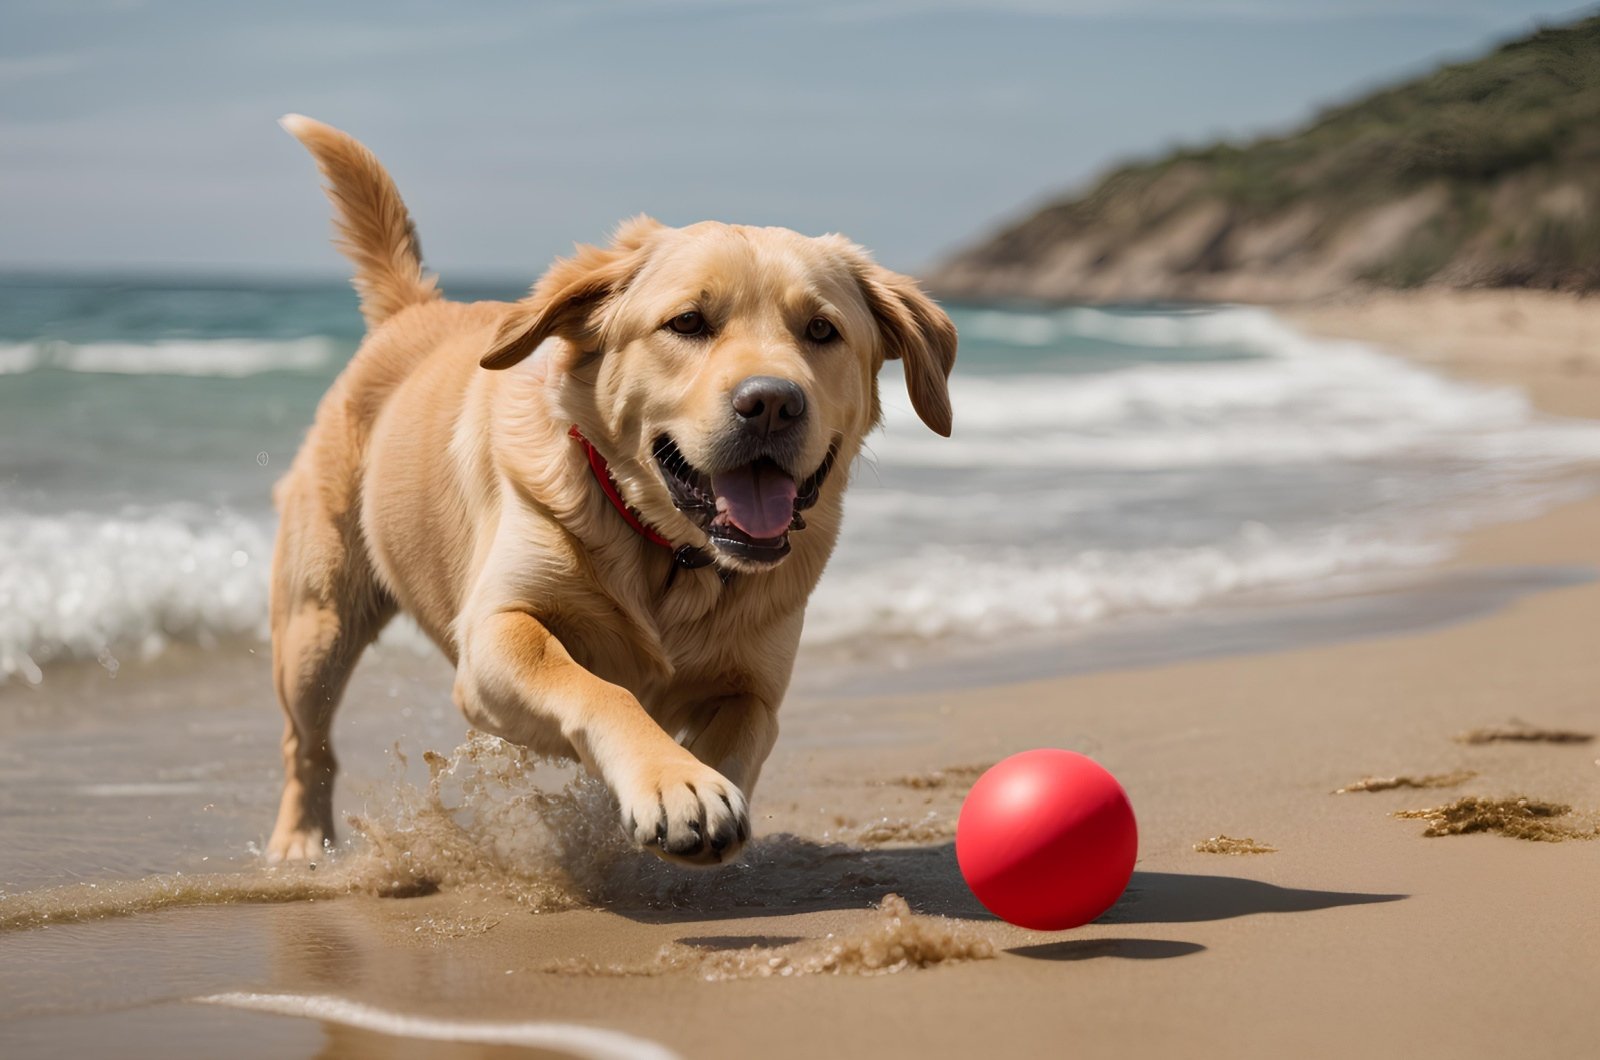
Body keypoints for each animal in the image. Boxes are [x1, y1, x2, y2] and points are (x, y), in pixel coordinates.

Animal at [268, 116, 953, 871]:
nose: (772, 403)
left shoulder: (757, 684)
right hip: (316, 622)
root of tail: (411, 310)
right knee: (307, 742)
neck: (671, 557)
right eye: (688, 322)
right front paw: (674, 781)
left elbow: (740, 732)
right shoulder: (498, 631)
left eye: (822, 330)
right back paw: (299, 840)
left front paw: (701, 787)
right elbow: (597, 687)